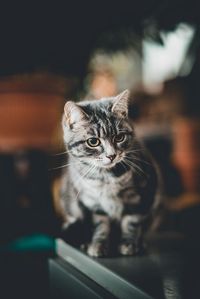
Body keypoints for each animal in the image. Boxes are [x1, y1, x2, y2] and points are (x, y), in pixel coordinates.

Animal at [58, 89, 160, 258]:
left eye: (119, 137)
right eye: (93, 141)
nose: (111, 155)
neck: (106, 177)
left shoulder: (140, 196)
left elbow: (132, 222)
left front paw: (129, 243)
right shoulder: (92, 203)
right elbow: (100, 225)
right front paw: (98, 244)